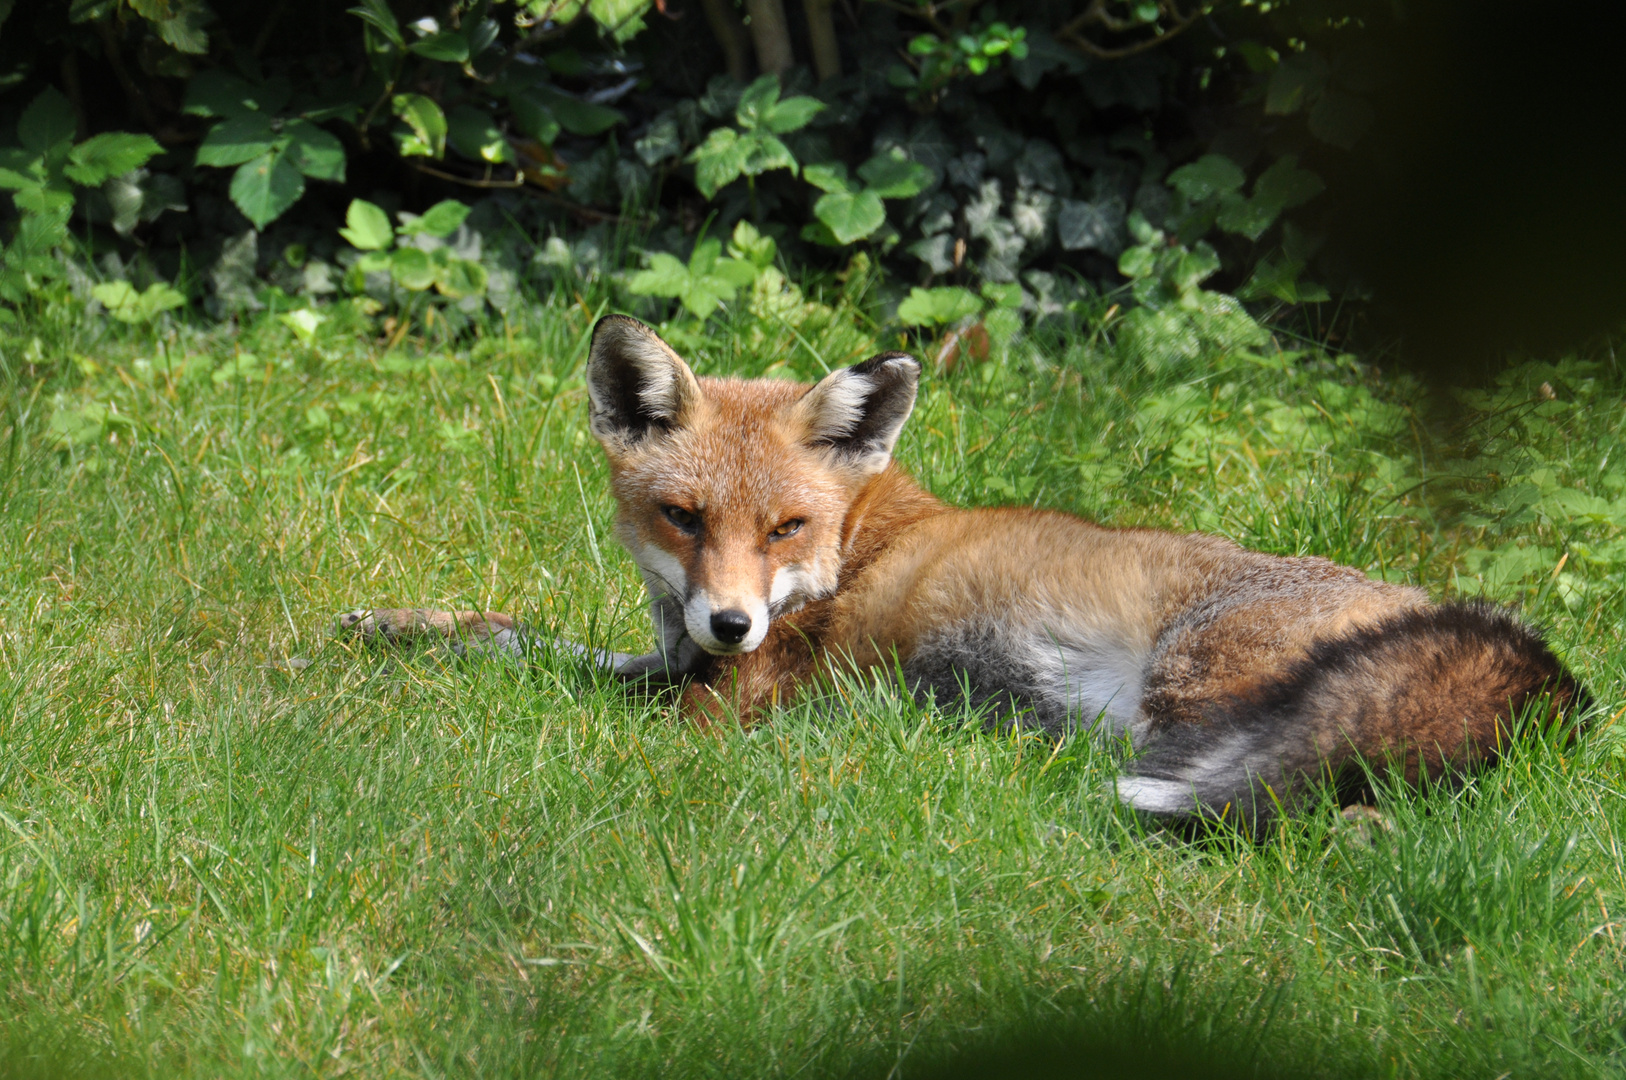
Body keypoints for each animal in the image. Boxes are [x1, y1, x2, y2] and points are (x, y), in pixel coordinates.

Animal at [343, 317, 1586, 829]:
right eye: (683, 517)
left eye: (786, 526)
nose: (733, 623)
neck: (854, 545)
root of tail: (1538, 662)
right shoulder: (663, 660)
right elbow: (519, 638)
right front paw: (395, 627)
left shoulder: (724, 703)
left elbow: (587, 706)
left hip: (1199, 685)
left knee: (1340, 804)